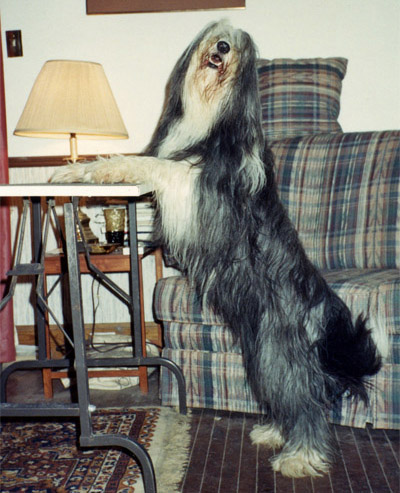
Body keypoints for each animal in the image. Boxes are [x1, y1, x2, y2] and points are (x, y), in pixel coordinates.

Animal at [50, 20, 382, 476]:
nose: (223, 48)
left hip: (280, 348)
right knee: (295, 393)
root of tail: (324, 309)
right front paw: (78, 169)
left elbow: (154, 164)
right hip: (260, 351)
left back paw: (302, 455)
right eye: (216, 33)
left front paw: (99, 167)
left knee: (306, 397)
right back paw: (275, 431)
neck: (209, 111)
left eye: (239, 45)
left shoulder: (200, 189)